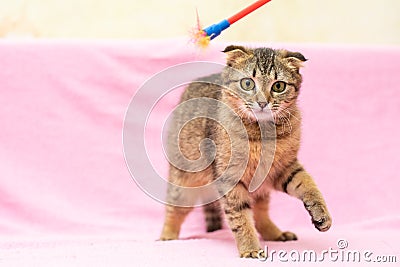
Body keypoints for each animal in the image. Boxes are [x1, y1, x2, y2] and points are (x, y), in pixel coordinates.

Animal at [159, 46, 332, 260]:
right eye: (248, 83)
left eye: (278, 86)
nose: (262, 102)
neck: (262, 133)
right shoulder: (230, 178)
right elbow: (240, 217)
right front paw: (250, 248)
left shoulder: (284, 168)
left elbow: (308, 184)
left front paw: (321, 213)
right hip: (183, 183)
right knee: (173, 211)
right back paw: (167, 237)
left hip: (260, 188)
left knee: (261, 214)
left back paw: (276, 233)